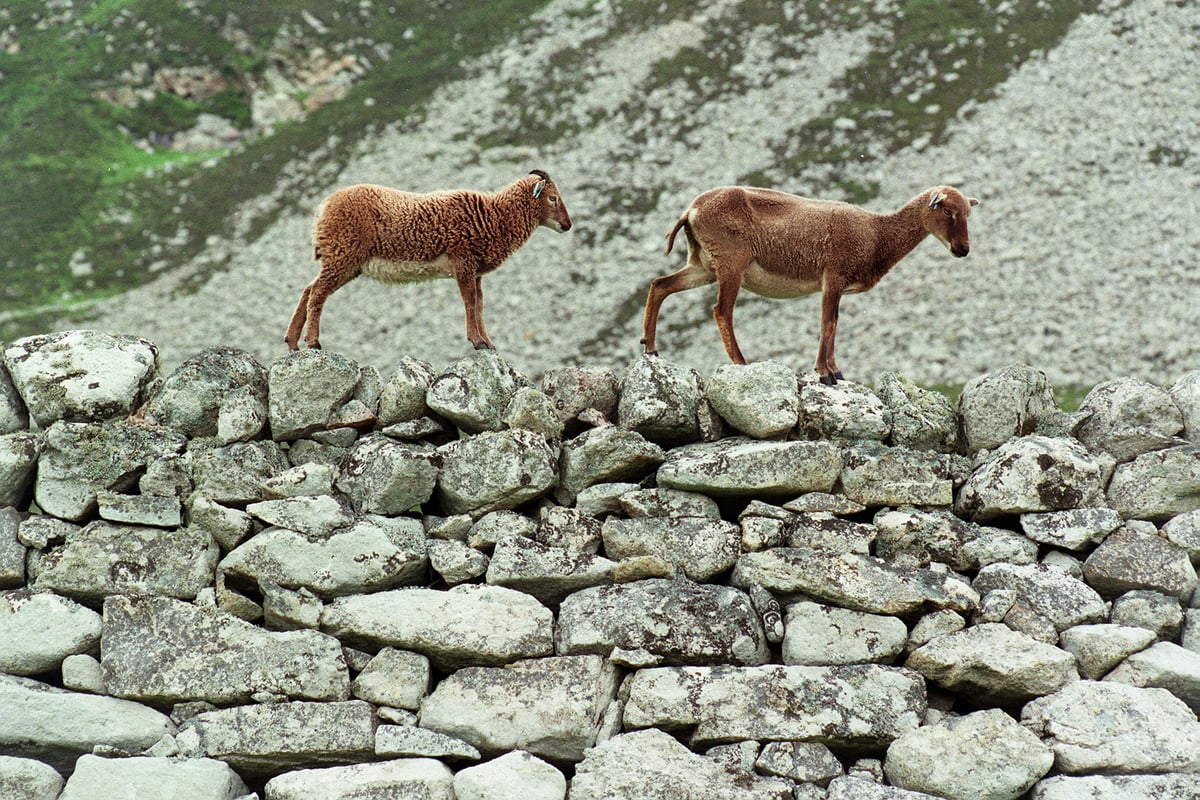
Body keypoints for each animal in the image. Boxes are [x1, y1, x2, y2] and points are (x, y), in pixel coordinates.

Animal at [285, 170, 572, 352]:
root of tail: (322, 208)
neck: (494, 216)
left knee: (309, 289)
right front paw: (477, 342)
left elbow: (479, 305)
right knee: (317, 293)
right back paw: (313, 343)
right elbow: (469, 302)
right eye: (553, 197)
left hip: (345, 263)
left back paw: (292, 342)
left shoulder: (476, 271)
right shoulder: (463, 263)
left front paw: (489, 343)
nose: (567, 225)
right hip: (343, 256)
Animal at [640, 185, 979, 384]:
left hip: (702, 265)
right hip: (729, 264)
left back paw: (650, 347)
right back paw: (741, 362)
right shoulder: (834, 277)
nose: (963, 249)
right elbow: (828, 322)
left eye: (968, 212)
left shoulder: (837, 285)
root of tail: (691, 211)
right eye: (947, 210)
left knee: (660, 285)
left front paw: (836, 371)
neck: (876, 233)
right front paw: (825, 373)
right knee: (721, 310)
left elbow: (834, 324)